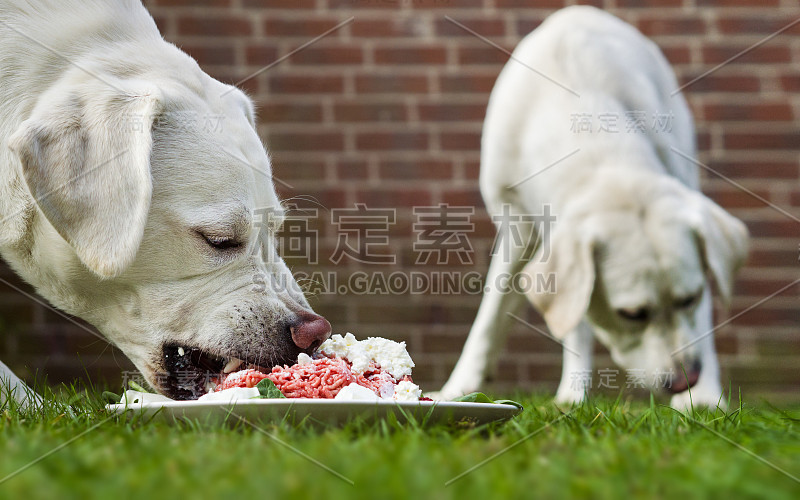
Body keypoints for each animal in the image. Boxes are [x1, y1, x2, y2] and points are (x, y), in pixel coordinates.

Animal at [434, 5, 748, 410]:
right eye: (632, 314)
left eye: (688, 298)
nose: (685, 381)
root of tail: (580, 10)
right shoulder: (517, 224)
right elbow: (492, 313)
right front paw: (457, 389)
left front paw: (704, 398)